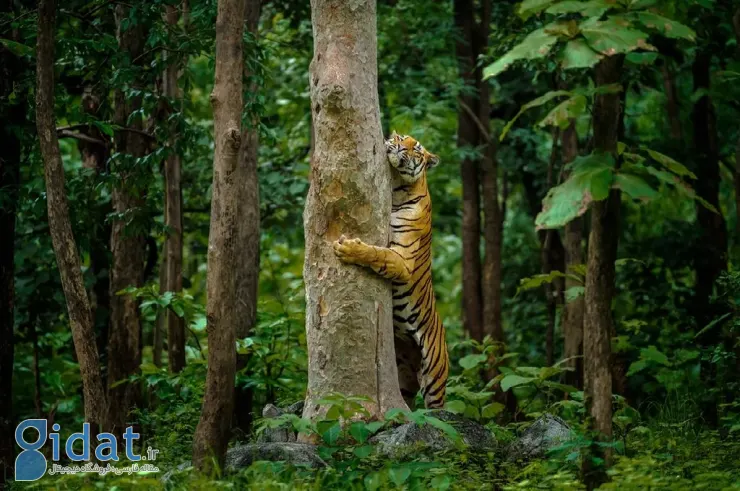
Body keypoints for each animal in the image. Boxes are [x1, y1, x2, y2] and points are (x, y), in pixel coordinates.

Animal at [332, 132, 448, 412]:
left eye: (417, 149)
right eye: (403, 138)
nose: (400, 146)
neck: (397, 188)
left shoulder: (402, 259)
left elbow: (378, 253)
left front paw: (348, 248)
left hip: (434, 378)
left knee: (438, 410)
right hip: (404, 371)